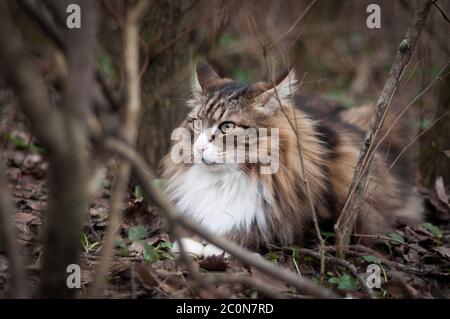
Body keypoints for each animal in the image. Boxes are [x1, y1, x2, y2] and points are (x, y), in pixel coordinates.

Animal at [161, 62, 422, 260]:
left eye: (227, 127)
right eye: (197, 123)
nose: (199, 147)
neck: (227, 180)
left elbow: (253, 232)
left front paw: (220, 246)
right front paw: (190, 241)